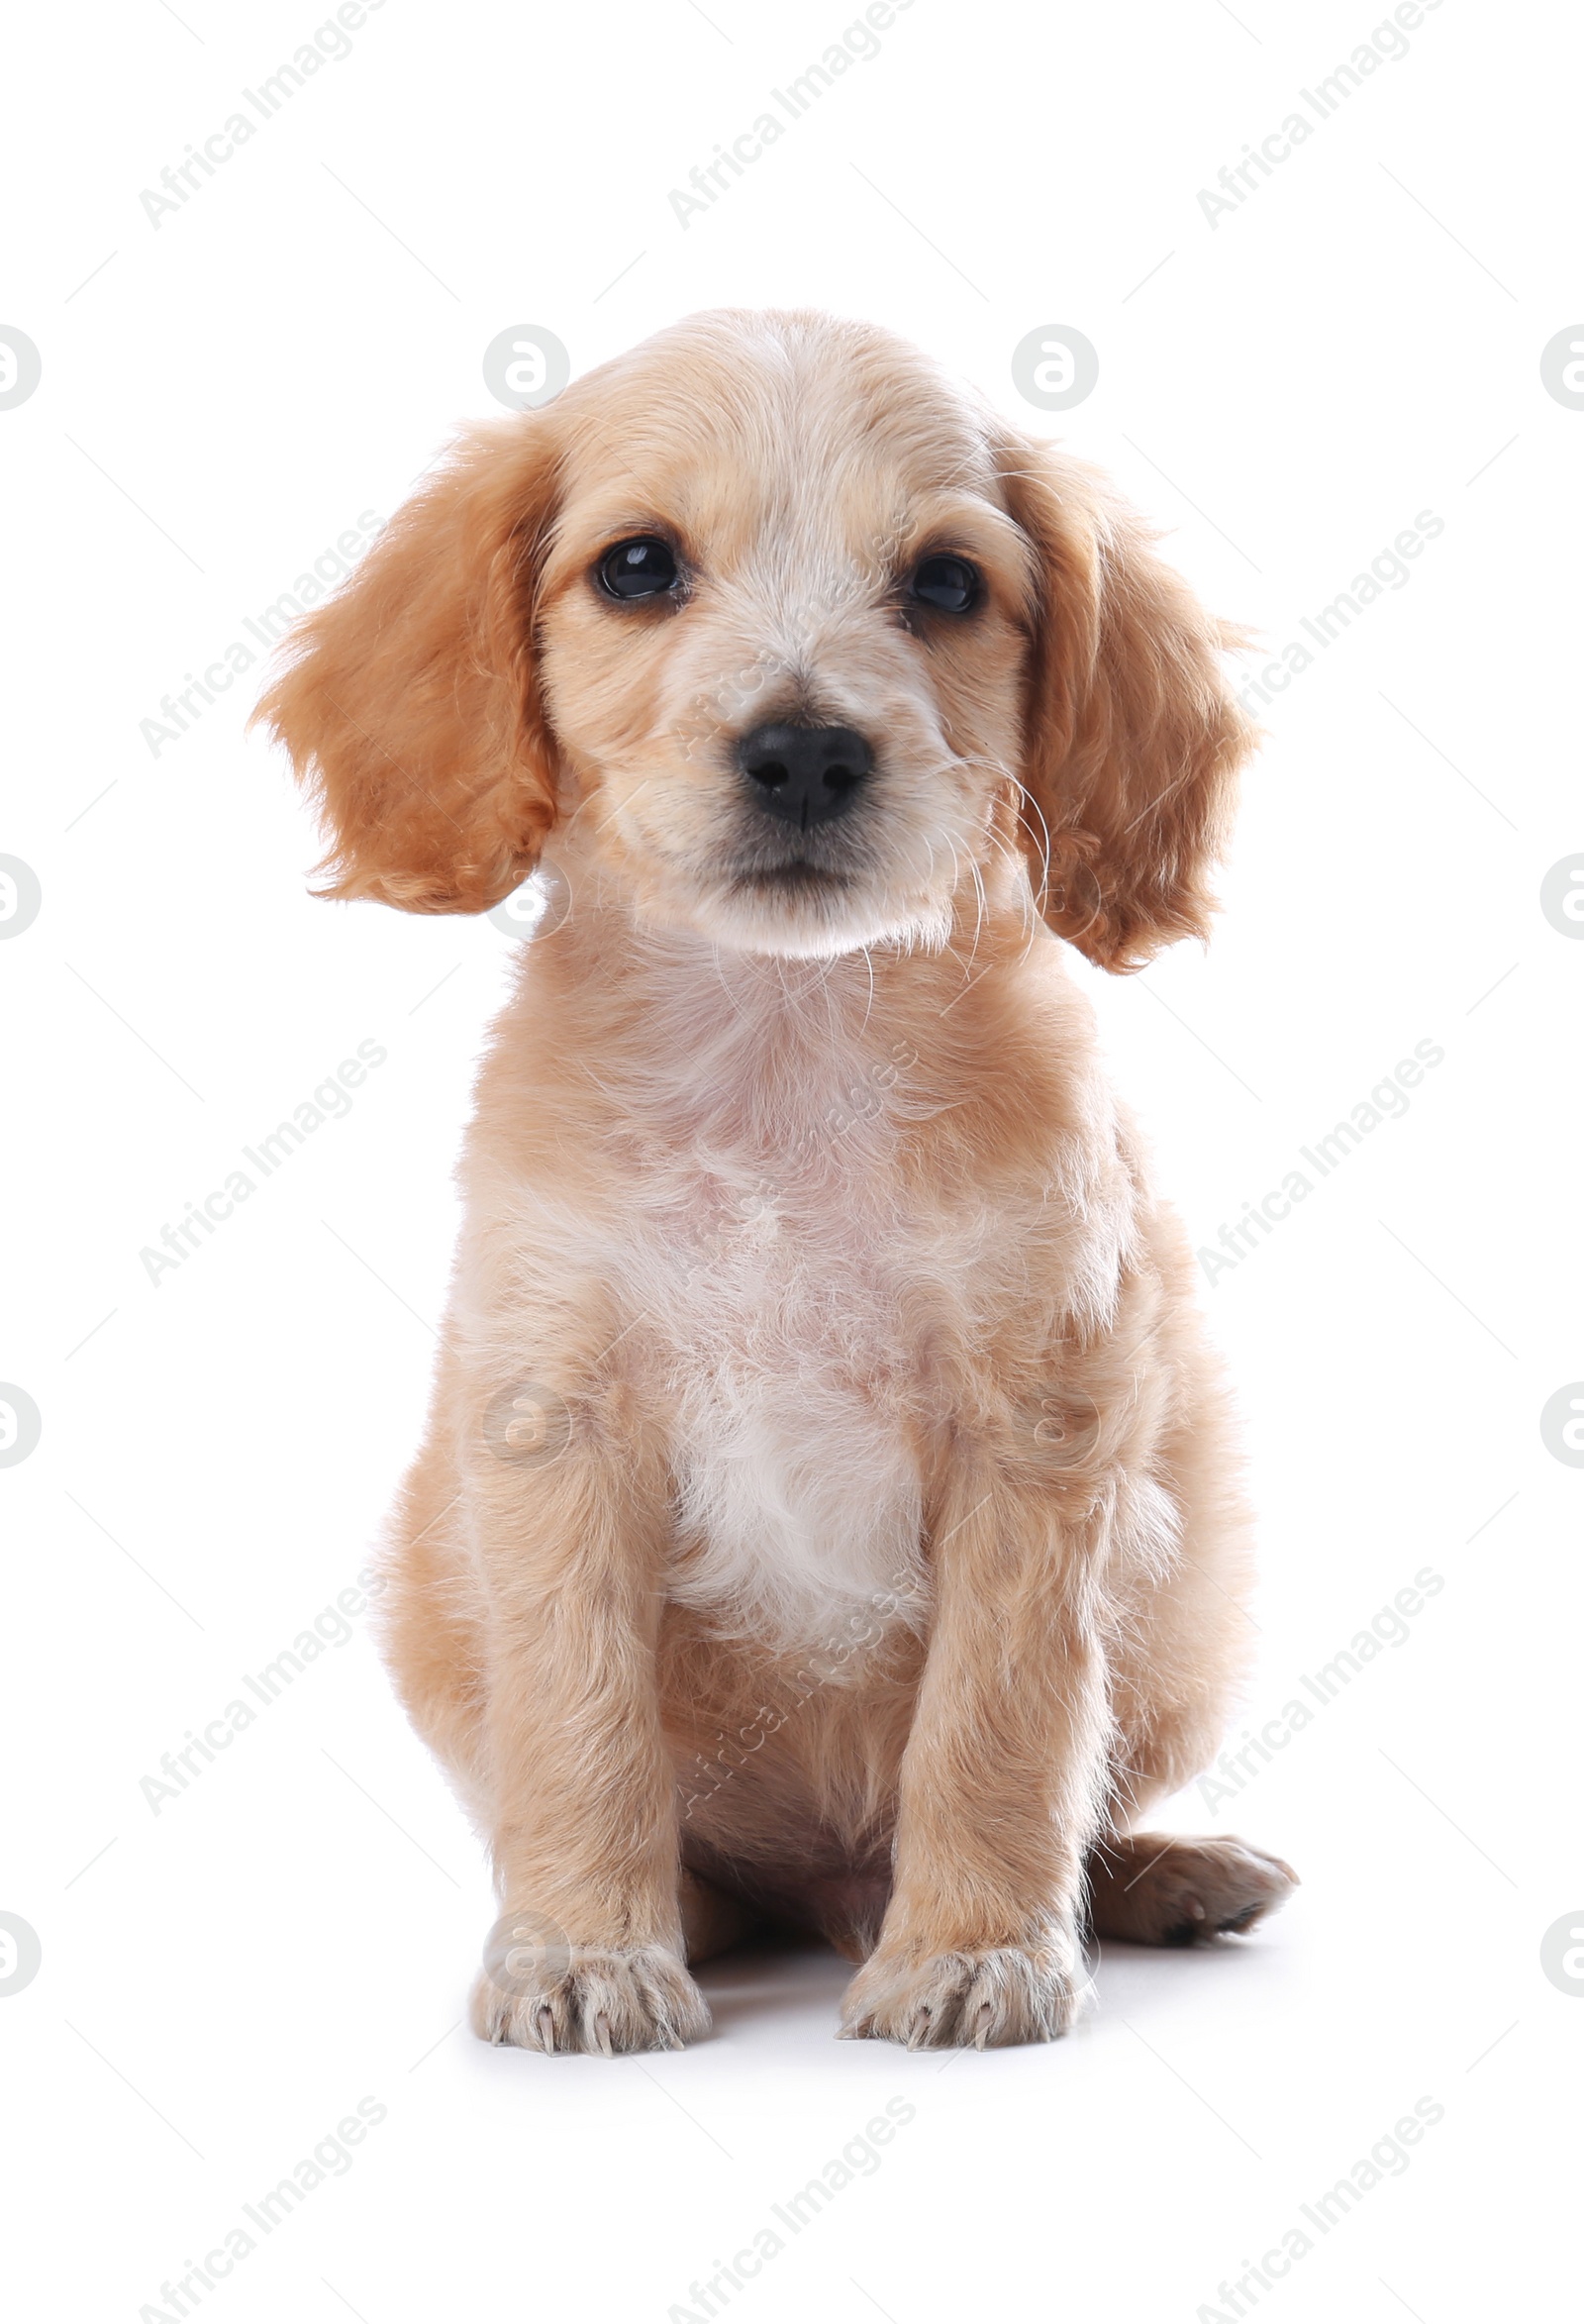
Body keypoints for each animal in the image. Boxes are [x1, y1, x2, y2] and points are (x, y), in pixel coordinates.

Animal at [258, 304, 1291, 2054]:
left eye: (946, 582)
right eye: (637, 566)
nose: (805, 749)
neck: (783, 1045)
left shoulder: (1041, 1426)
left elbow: (1003, 1722)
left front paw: (975, 1948)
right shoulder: (555, 1427)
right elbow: (582, 1719)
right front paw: (585, 1948)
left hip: (1191, 1583)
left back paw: (1157, 1874)